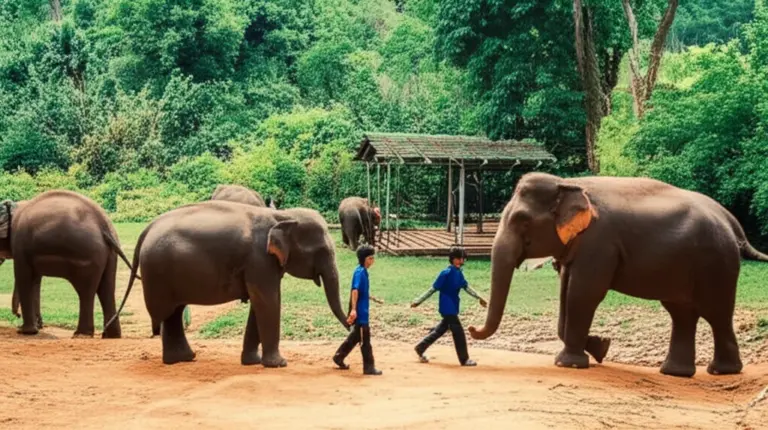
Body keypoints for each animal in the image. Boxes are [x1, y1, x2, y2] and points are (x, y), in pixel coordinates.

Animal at [0, 190, 136, 338]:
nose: (17, 315)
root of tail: (104, 225)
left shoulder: (20, 244)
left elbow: (23, 276)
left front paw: (26, 331)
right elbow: (34, 280)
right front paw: (36, 327)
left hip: (88, 256)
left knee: (86, 291)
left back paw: (81, 334)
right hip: (110, 254)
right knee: (107, 288)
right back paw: (110, 336)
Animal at [105, 201, 349, 367]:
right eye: (322, 251)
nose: (351, 325)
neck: (280, 215)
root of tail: (147, 228)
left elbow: (260, 304)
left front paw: (252, 362)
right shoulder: (259, 260)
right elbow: (268, 301)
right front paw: (279, 364)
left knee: (175, 312)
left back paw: (184, 359)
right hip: (159, 272)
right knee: (169, 312)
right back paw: (179, 360)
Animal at [468, 172, 768, 377]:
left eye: (522, 221)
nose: (471, 328)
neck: (568, 182)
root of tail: (731, 220)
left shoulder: (599, 243)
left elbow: (583, 294)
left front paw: (572, 363)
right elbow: (567, 292)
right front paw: (601, 347)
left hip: (716, 263)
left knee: (716, 313)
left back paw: (720, 371)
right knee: (682, 313)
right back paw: (675, 373)